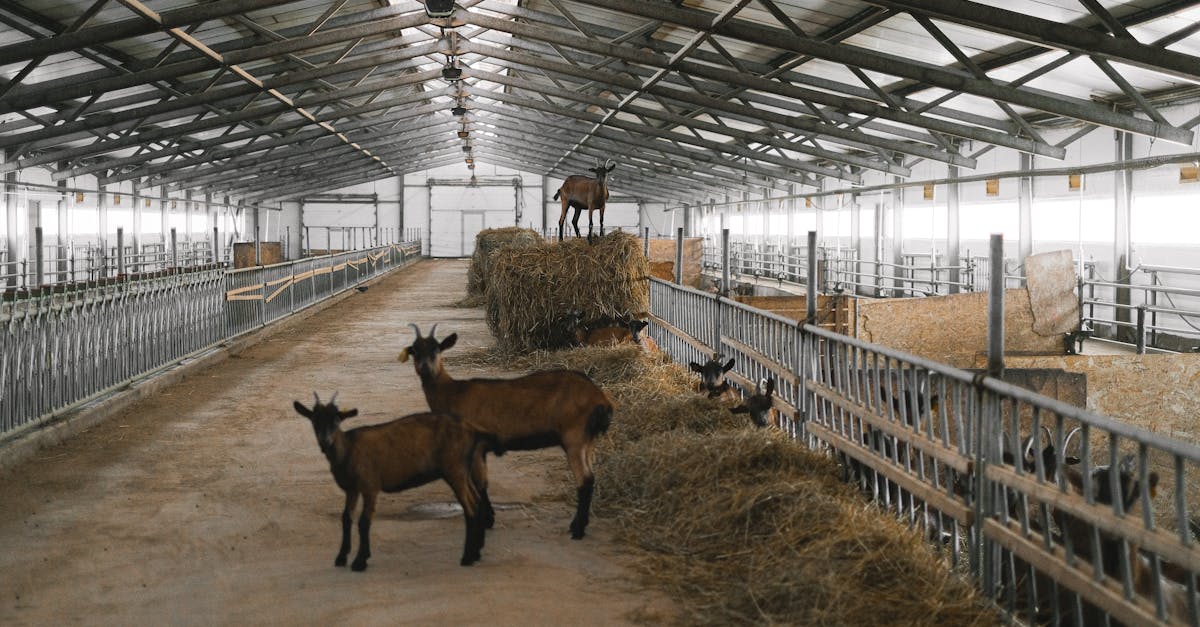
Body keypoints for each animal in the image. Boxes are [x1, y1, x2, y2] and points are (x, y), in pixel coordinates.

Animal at [295, 393, 496, 569]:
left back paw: (467, 557)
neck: (349, 449)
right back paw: (476, 552)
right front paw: (341, 557)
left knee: (470, 507)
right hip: (463, 469)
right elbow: (346, 518)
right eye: (314, 420)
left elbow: (364, 521)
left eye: (336, 421)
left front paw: (360, 561)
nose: (325, 441)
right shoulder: (351, 489)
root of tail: (471, 428)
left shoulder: (370, 486)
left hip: (454, 469)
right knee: (476, 501)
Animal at [400, 321, 614, 535]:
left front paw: (486, 520)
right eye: (414, 351)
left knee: (584, 480)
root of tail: (600, 398)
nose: (425, 368)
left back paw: (577, 528)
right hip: (587, 440)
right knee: (590, 478)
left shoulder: (476, 446)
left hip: (574, 436)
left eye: (437, 349)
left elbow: (480, 484)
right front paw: (488, 517)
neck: (453, 393)